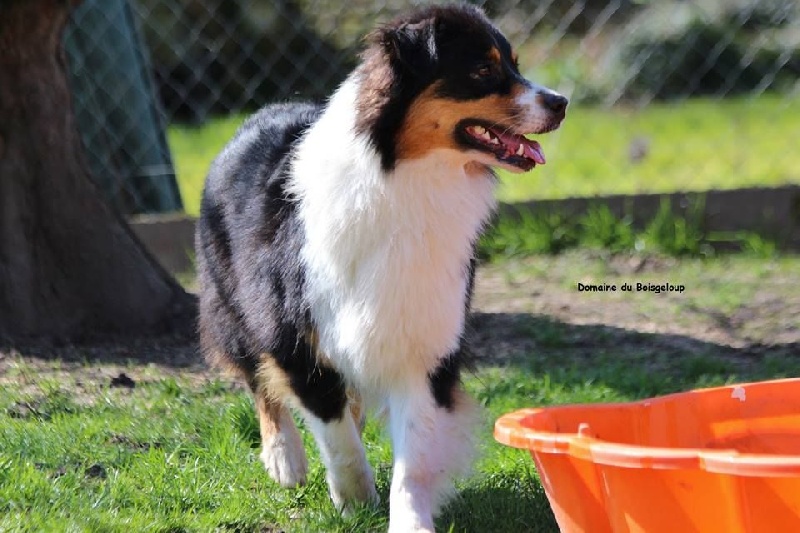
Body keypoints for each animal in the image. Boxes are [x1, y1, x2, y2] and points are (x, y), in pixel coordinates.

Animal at [196, 3, 564, 528]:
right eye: (482, 69)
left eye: (514, 64)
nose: (562, 102)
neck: (404, 179)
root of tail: (260, 114)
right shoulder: (298, 339)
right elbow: (337, 436)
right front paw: (354, 501)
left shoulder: (423, 342)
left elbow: (414, 457)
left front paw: (409, 520)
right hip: (232, 302)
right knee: (257, 377)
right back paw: (285, 458)